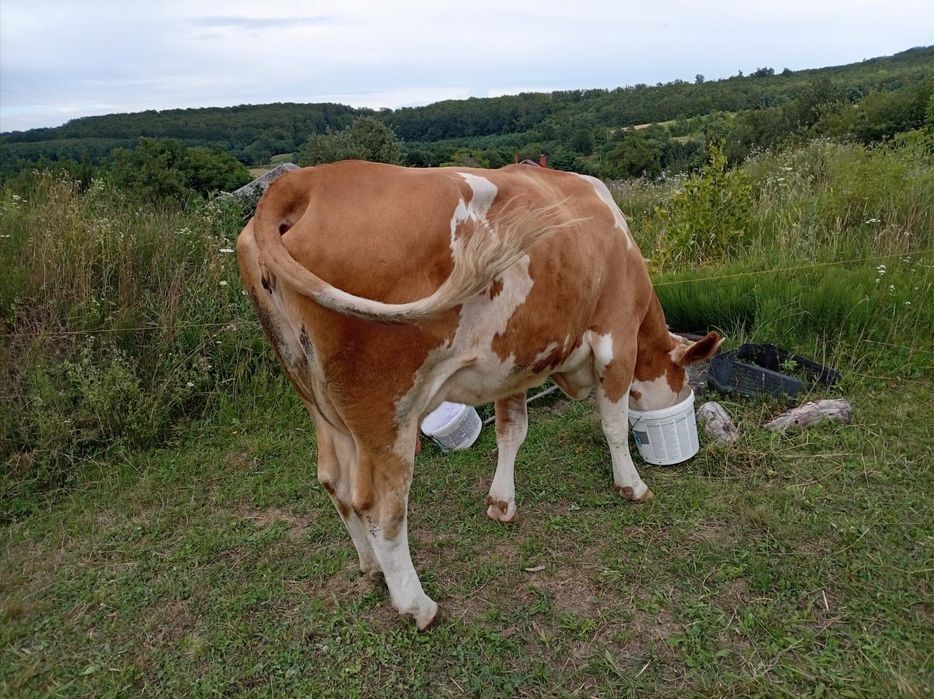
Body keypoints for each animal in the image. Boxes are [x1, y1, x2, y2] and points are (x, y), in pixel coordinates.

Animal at [236, 160, 720, 629]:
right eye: (681, 380)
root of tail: (306, 181)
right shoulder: (615, 338)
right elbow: (614, 426)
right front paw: (632, 486)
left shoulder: (515, 363)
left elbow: (511, 432)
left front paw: (502, 503)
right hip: (387, 406)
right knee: (381, 502)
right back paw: (417, 606)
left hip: (317, 400)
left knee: (333, 480)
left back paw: (372, 568)